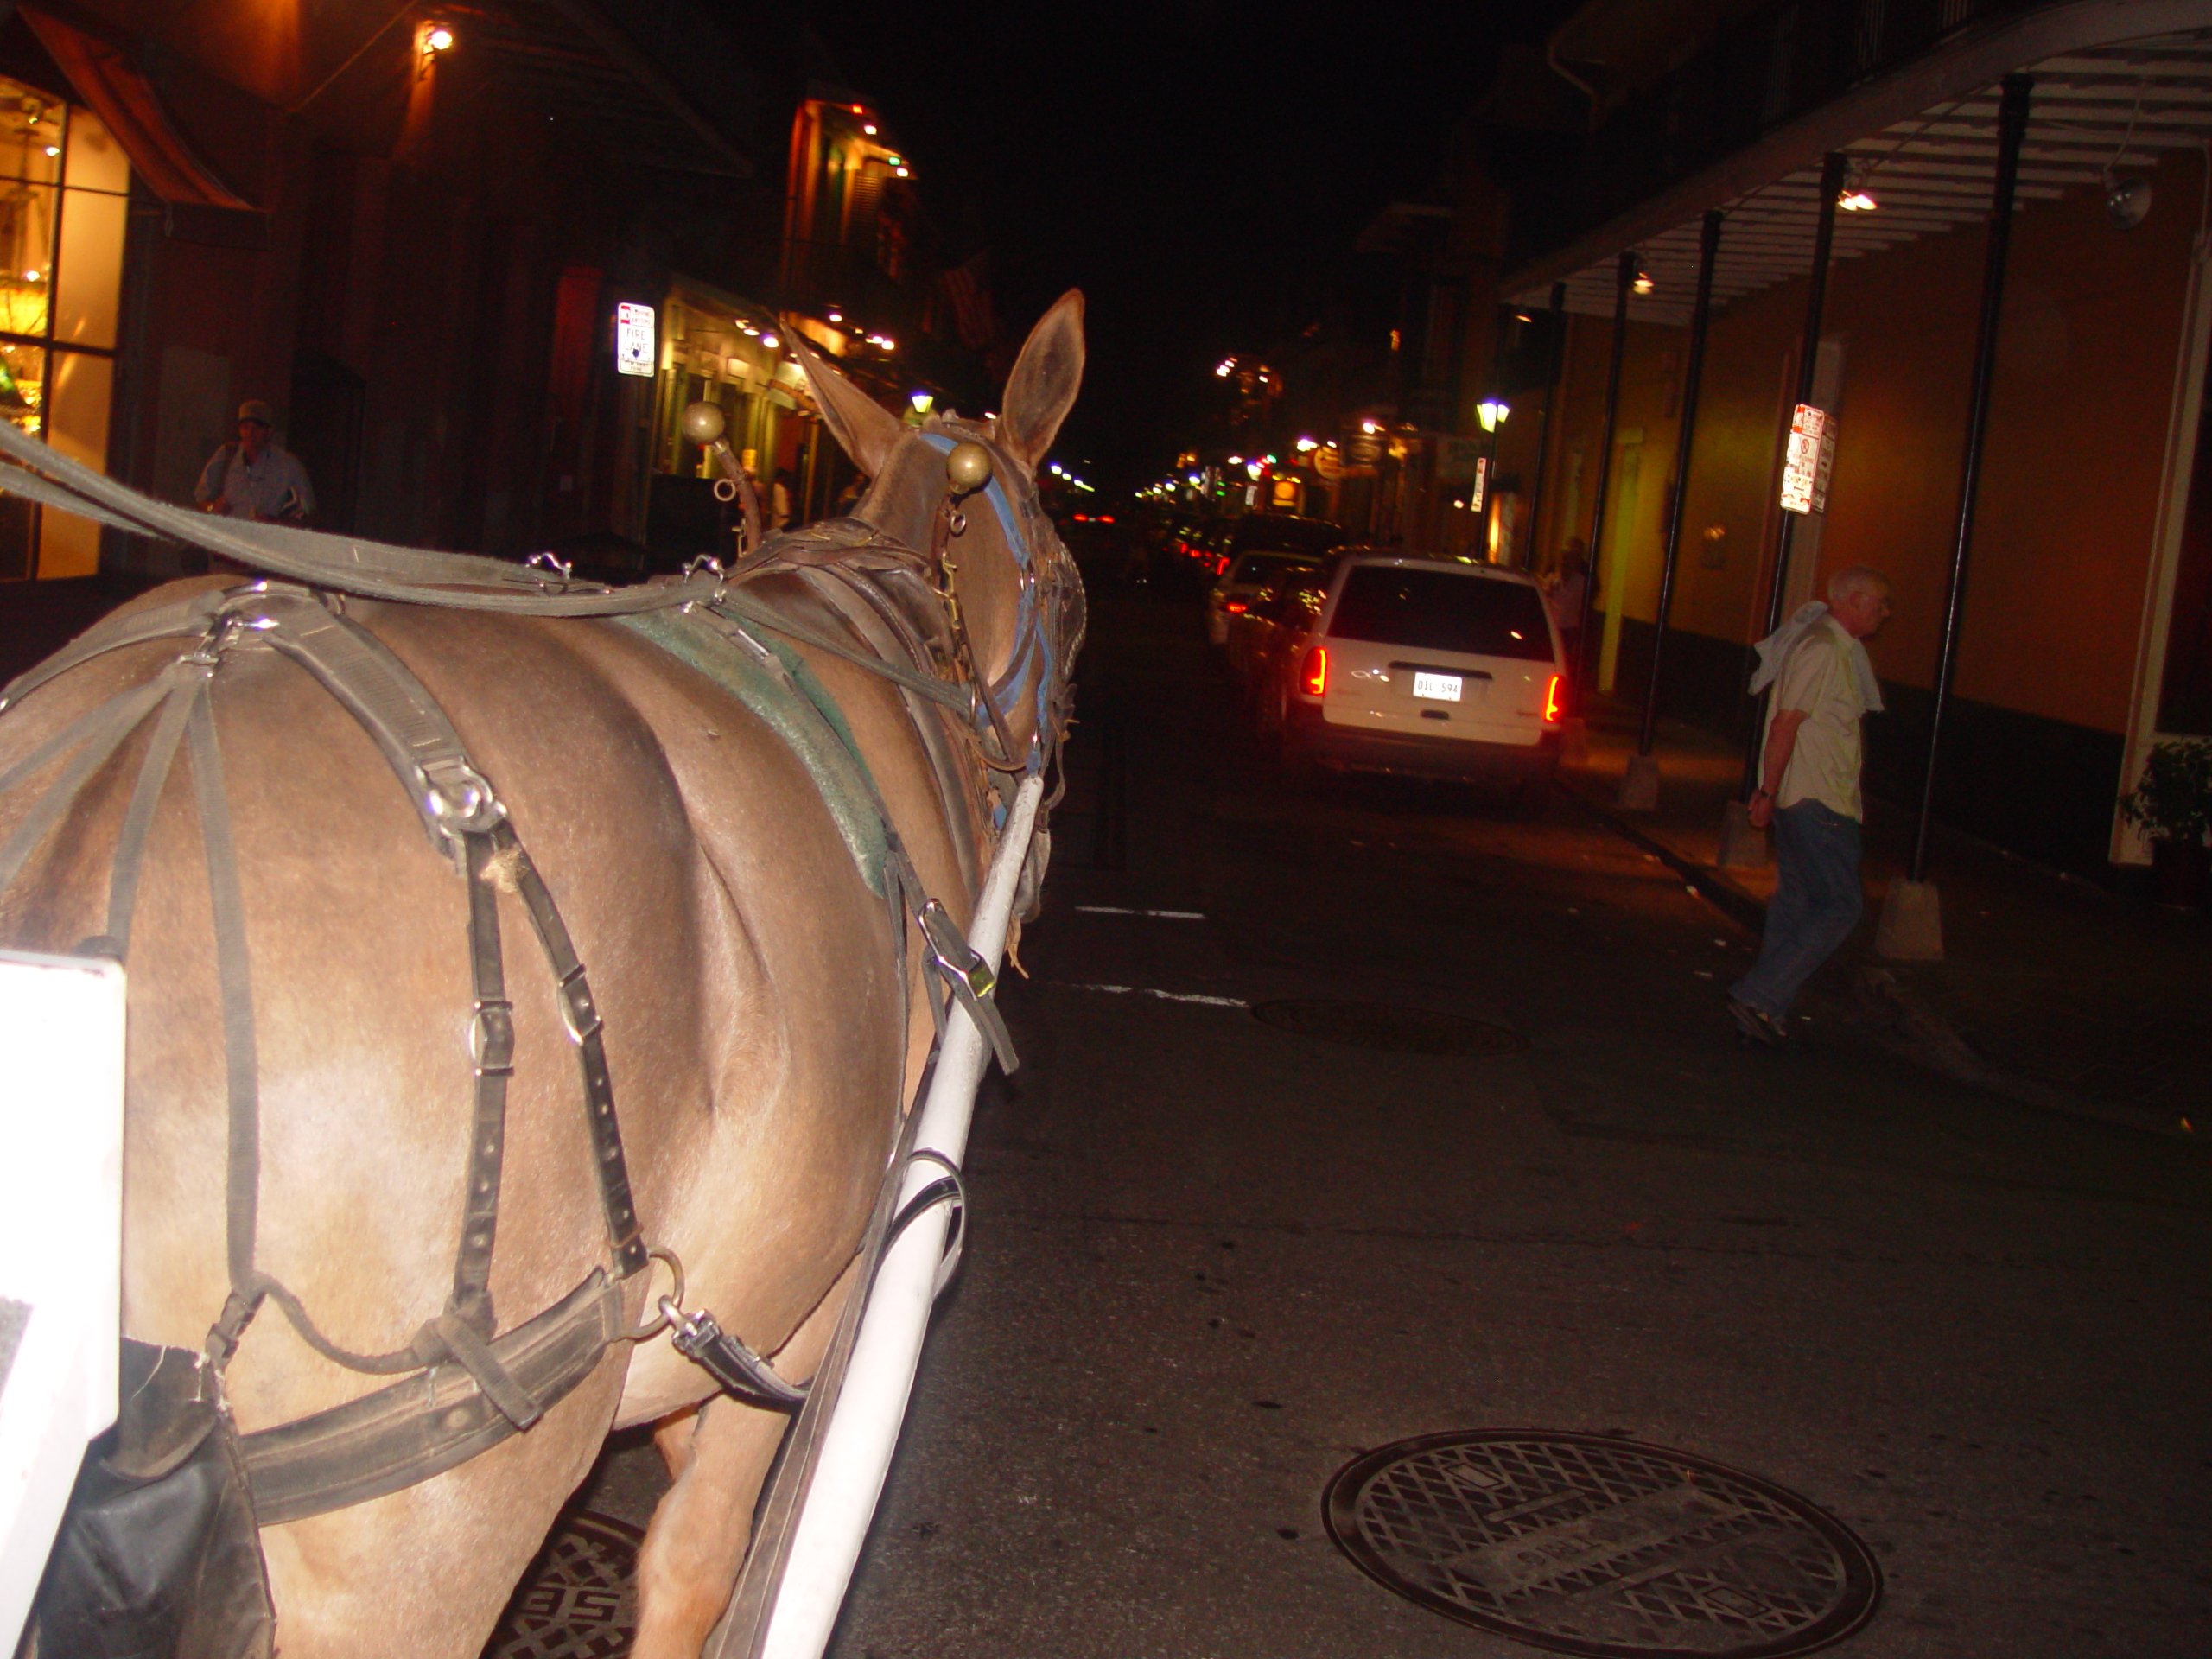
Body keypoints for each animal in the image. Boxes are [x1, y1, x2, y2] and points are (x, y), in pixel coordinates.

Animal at [0, 291, 1092, 1654]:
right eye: (1074, 596)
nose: (1047, 830)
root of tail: (117, 793)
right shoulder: (825, 1295)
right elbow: (698, 1558)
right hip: (424, 1524)